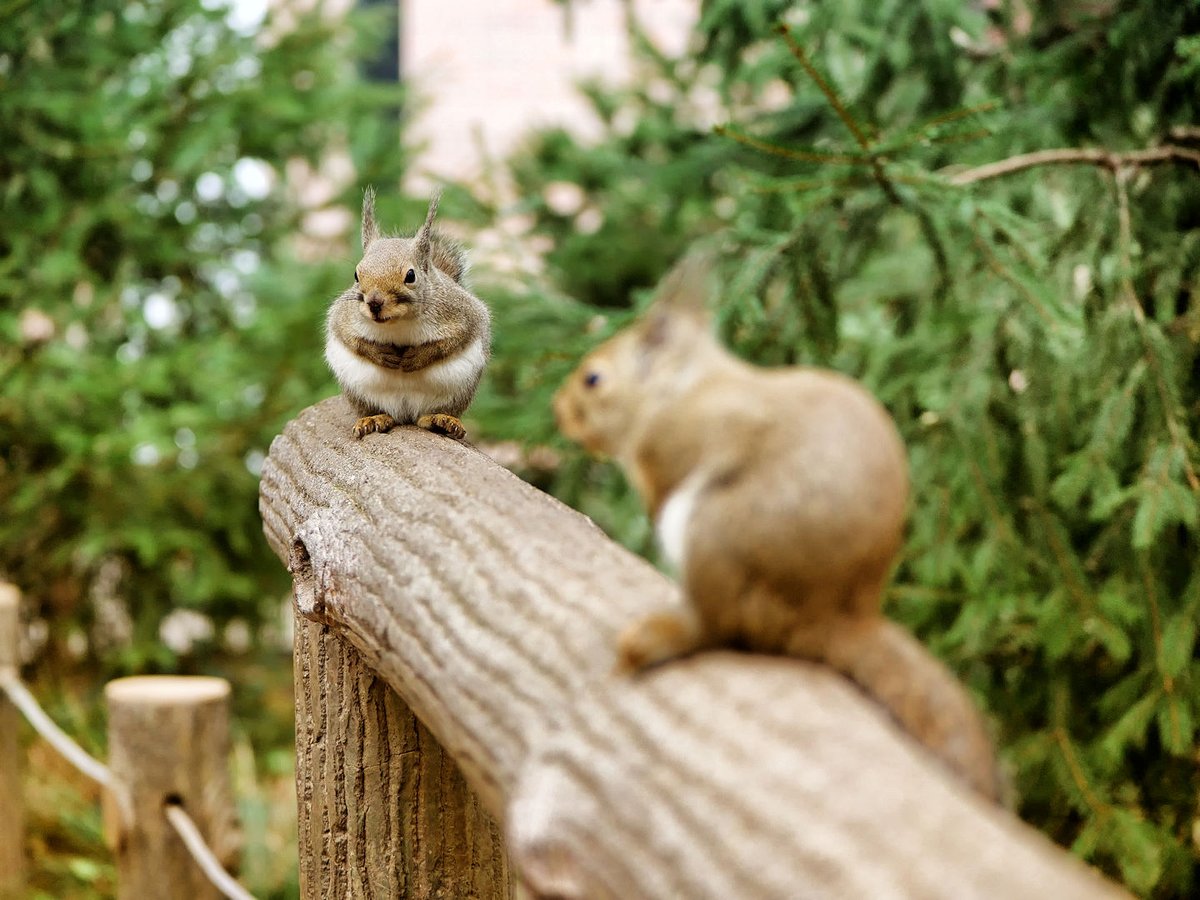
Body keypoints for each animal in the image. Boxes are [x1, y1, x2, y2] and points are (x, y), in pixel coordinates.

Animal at [325, 188, 491, 440]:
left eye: (410, 276)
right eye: (356, 275)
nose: (374, 303)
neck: (396, 323)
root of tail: (406, 413)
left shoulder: (464, 315)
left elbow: (452, 341)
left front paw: (418, 357)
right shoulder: (343, 317)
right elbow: (349, 337)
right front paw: (380, 353)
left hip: (458, 387)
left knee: (432, 414)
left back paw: (441, 420)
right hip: (358, 389)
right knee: (376, 409)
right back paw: (374, 418)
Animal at [553, 257, 1004, 804]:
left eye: (593, 379)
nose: (557, 410)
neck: (677, 390)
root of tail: (832, 617)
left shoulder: (688, 441)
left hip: (713, 535)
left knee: (723, 628)